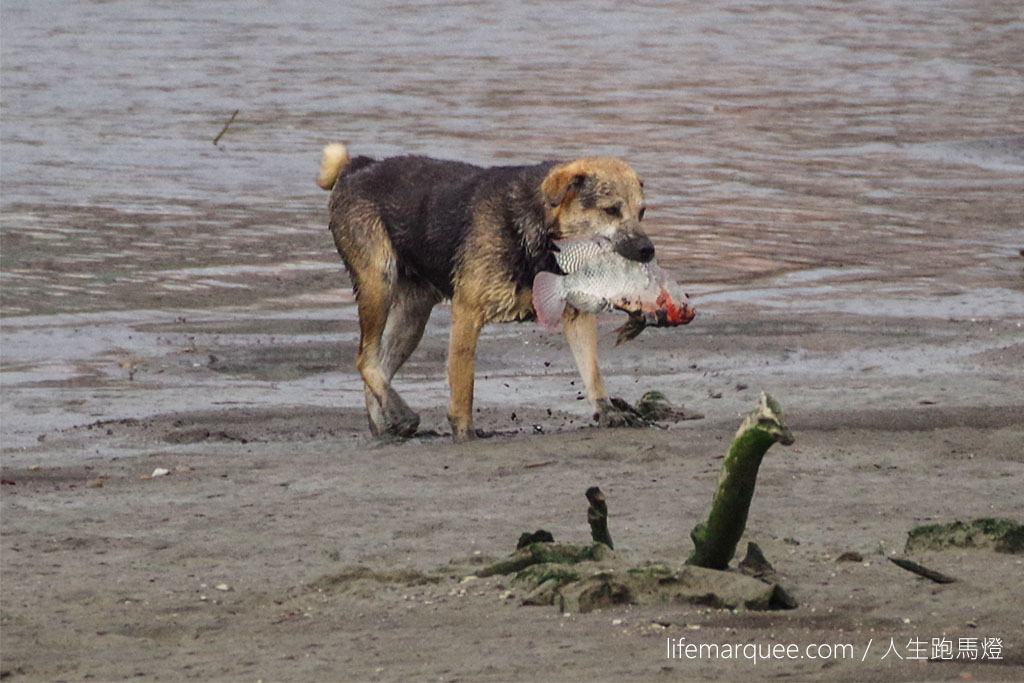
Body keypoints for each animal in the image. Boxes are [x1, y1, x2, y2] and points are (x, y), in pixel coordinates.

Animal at [317, 143, 655, 444]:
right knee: (365, 359)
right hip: (378, 284)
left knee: (378, 364)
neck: (540, 231)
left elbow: (593, 372)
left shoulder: (575, 314)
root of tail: (358, 165)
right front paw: (464, 432)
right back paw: (401, 415)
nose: (648, 250)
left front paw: (608, 411)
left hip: (412, 319)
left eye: (642, 212)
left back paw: (386, 424)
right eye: (611, 210)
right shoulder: (467, 312)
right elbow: (463, 383)